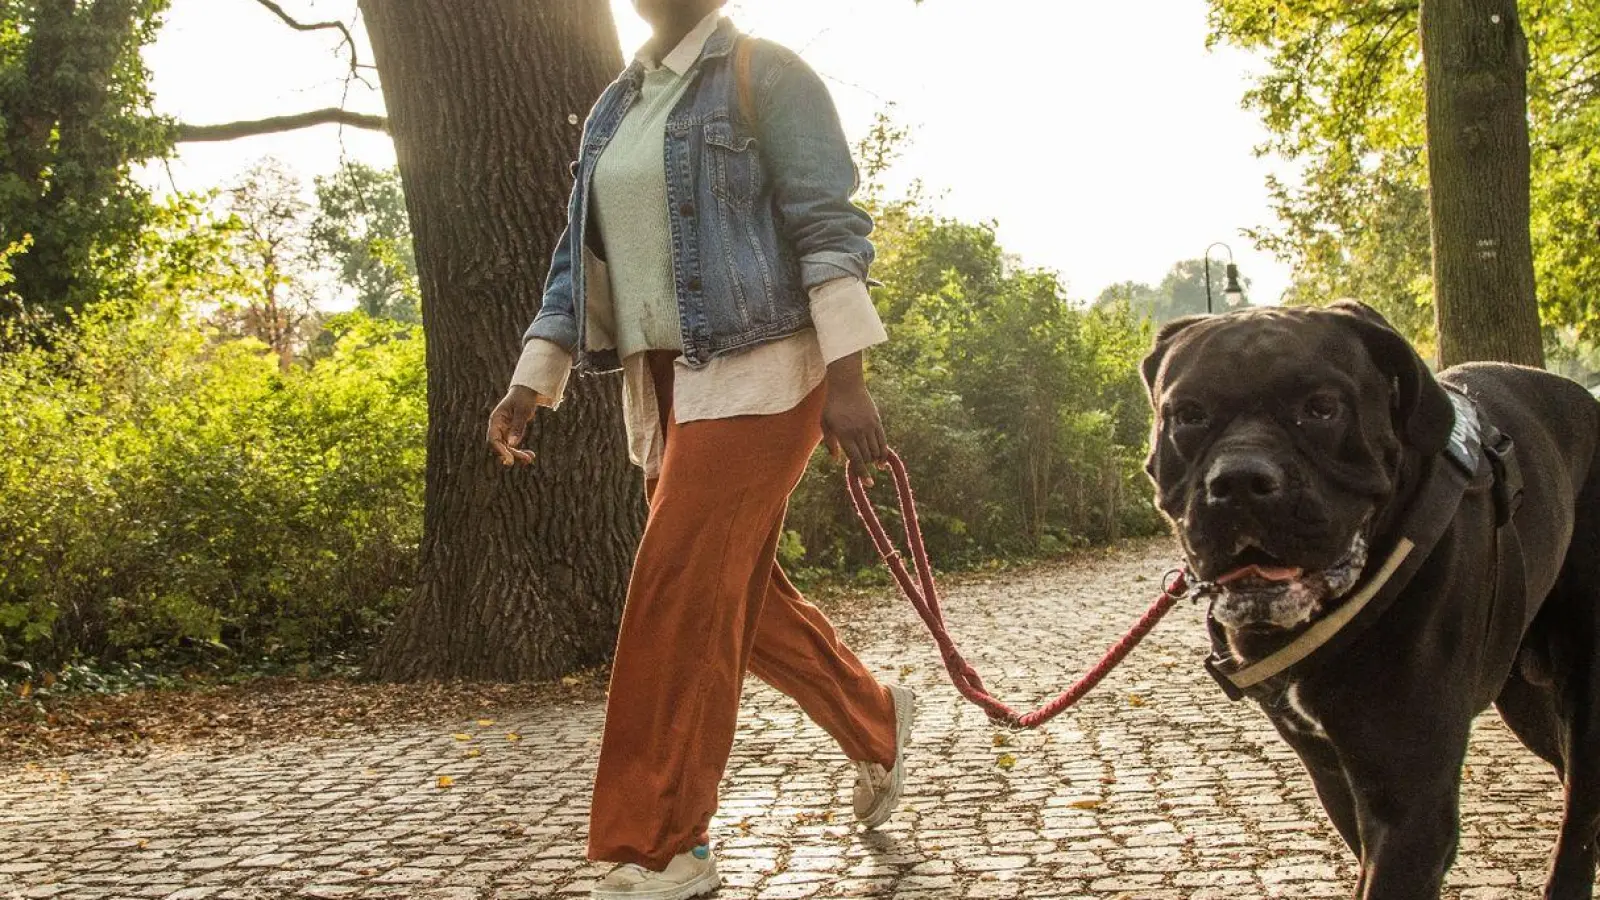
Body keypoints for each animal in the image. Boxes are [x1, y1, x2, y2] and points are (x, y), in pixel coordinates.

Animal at [1145, 302, 1600, 896]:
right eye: (1189, 415)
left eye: (1321, 408)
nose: (1240, 480)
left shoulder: (1410, 804)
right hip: (1523, 694)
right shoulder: (1334, 773)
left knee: (1580, 814)